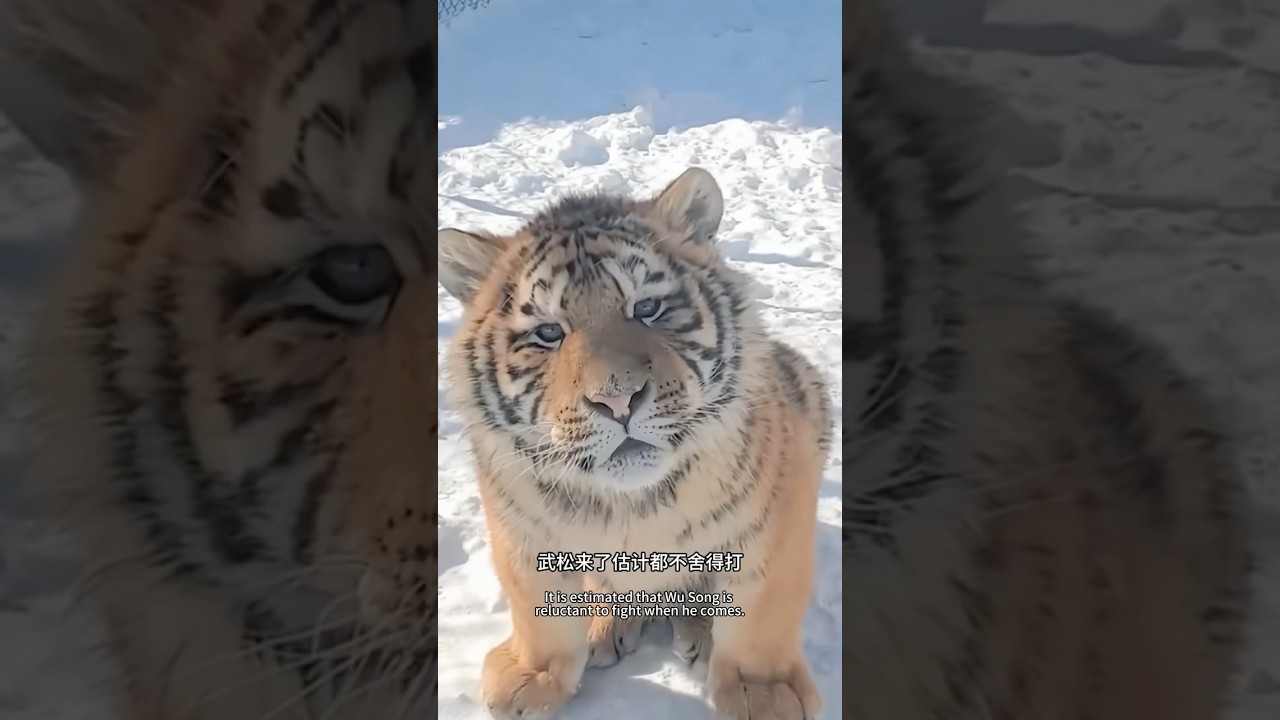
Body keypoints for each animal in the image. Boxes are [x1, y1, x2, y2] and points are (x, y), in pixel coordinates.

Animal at [437, 166, 834, 720]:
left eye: (648, 307)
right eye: (548, 333)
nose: (618, 400)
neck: (631, 506)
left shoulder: (778, 513)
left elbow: (763, 610)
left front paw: (764, 695)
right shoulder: (520, 525)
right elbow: (535, 608)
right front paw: (530, 678)